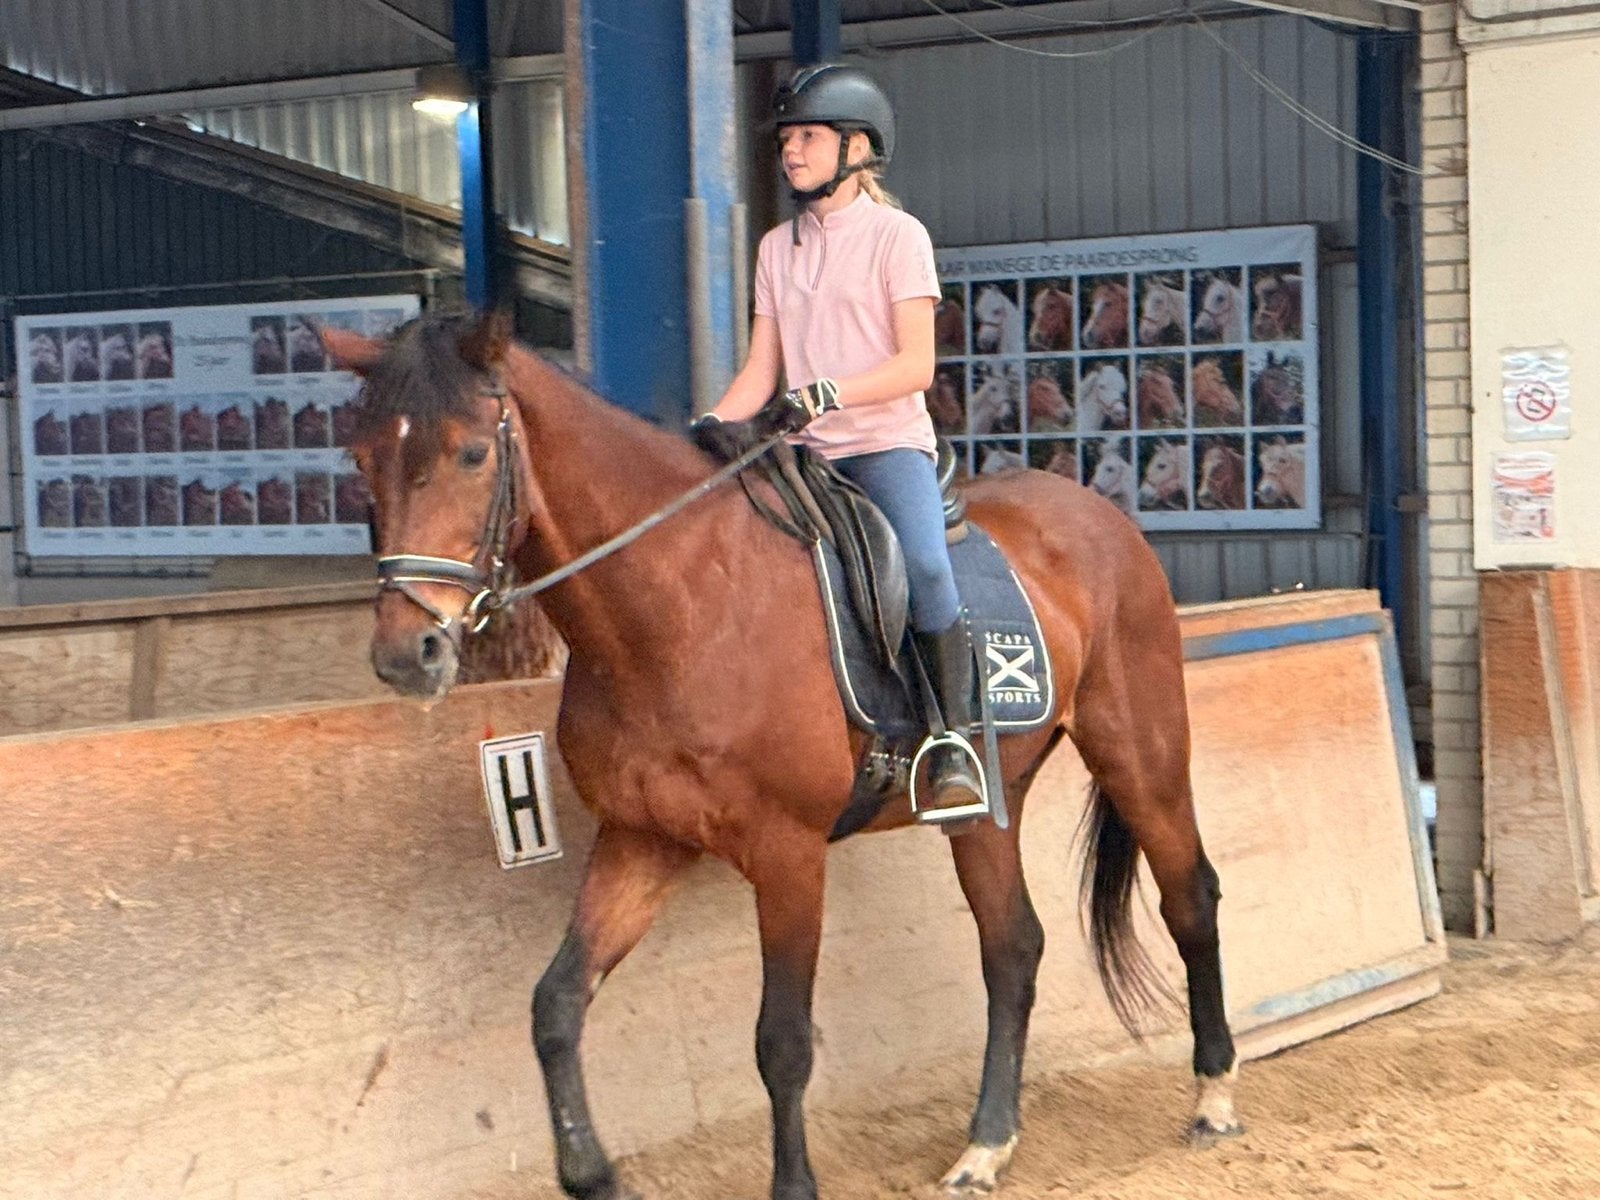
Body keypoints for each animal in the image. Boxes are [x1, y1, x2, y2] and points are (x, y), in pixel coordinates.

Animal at [324, 312, 1241, 1200]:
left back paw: (1214, 1101)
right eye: (363, 457)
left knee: (1189, 897)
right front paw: (591, 1173)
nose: (408, 655)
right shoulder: (644, 839)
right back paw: (985, 1148)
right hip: (987, 800)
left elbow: (784, 1041)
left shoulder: (788, 852)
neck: (680, 602)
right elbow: (557, 1003)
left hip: (1141, 752)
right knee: (1012, 949)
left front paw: (793, 1185)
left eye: (472, 453)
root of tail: (1099, 514)